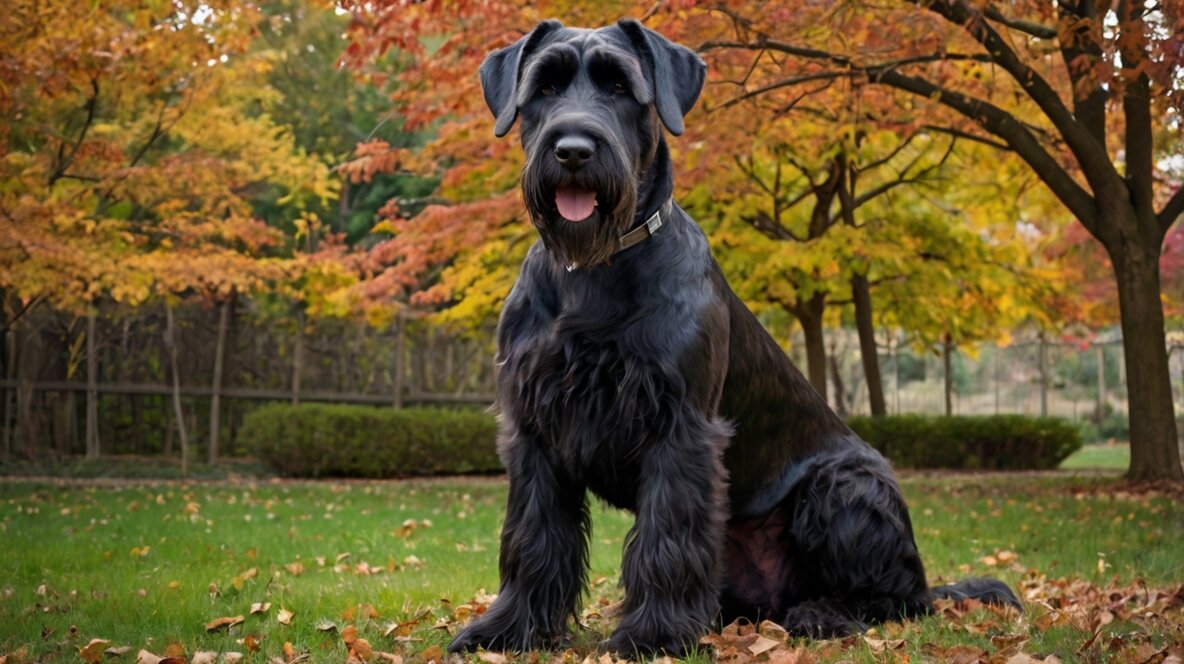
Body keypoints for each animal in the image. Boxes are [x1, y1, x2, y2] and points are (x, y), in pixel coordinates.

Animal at [447, 18, 1022, 653]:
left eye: (620, 86)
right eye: (544, 87)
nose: (573, 150)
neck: (592, 270)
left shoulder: (680, 428)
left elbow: (667, 536)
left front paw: (653, 635)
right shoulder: (535, 429)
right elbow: (533, 536)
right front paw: (511, 629)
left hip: (847, 484)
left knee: (901, 600)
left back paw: (824, 615)